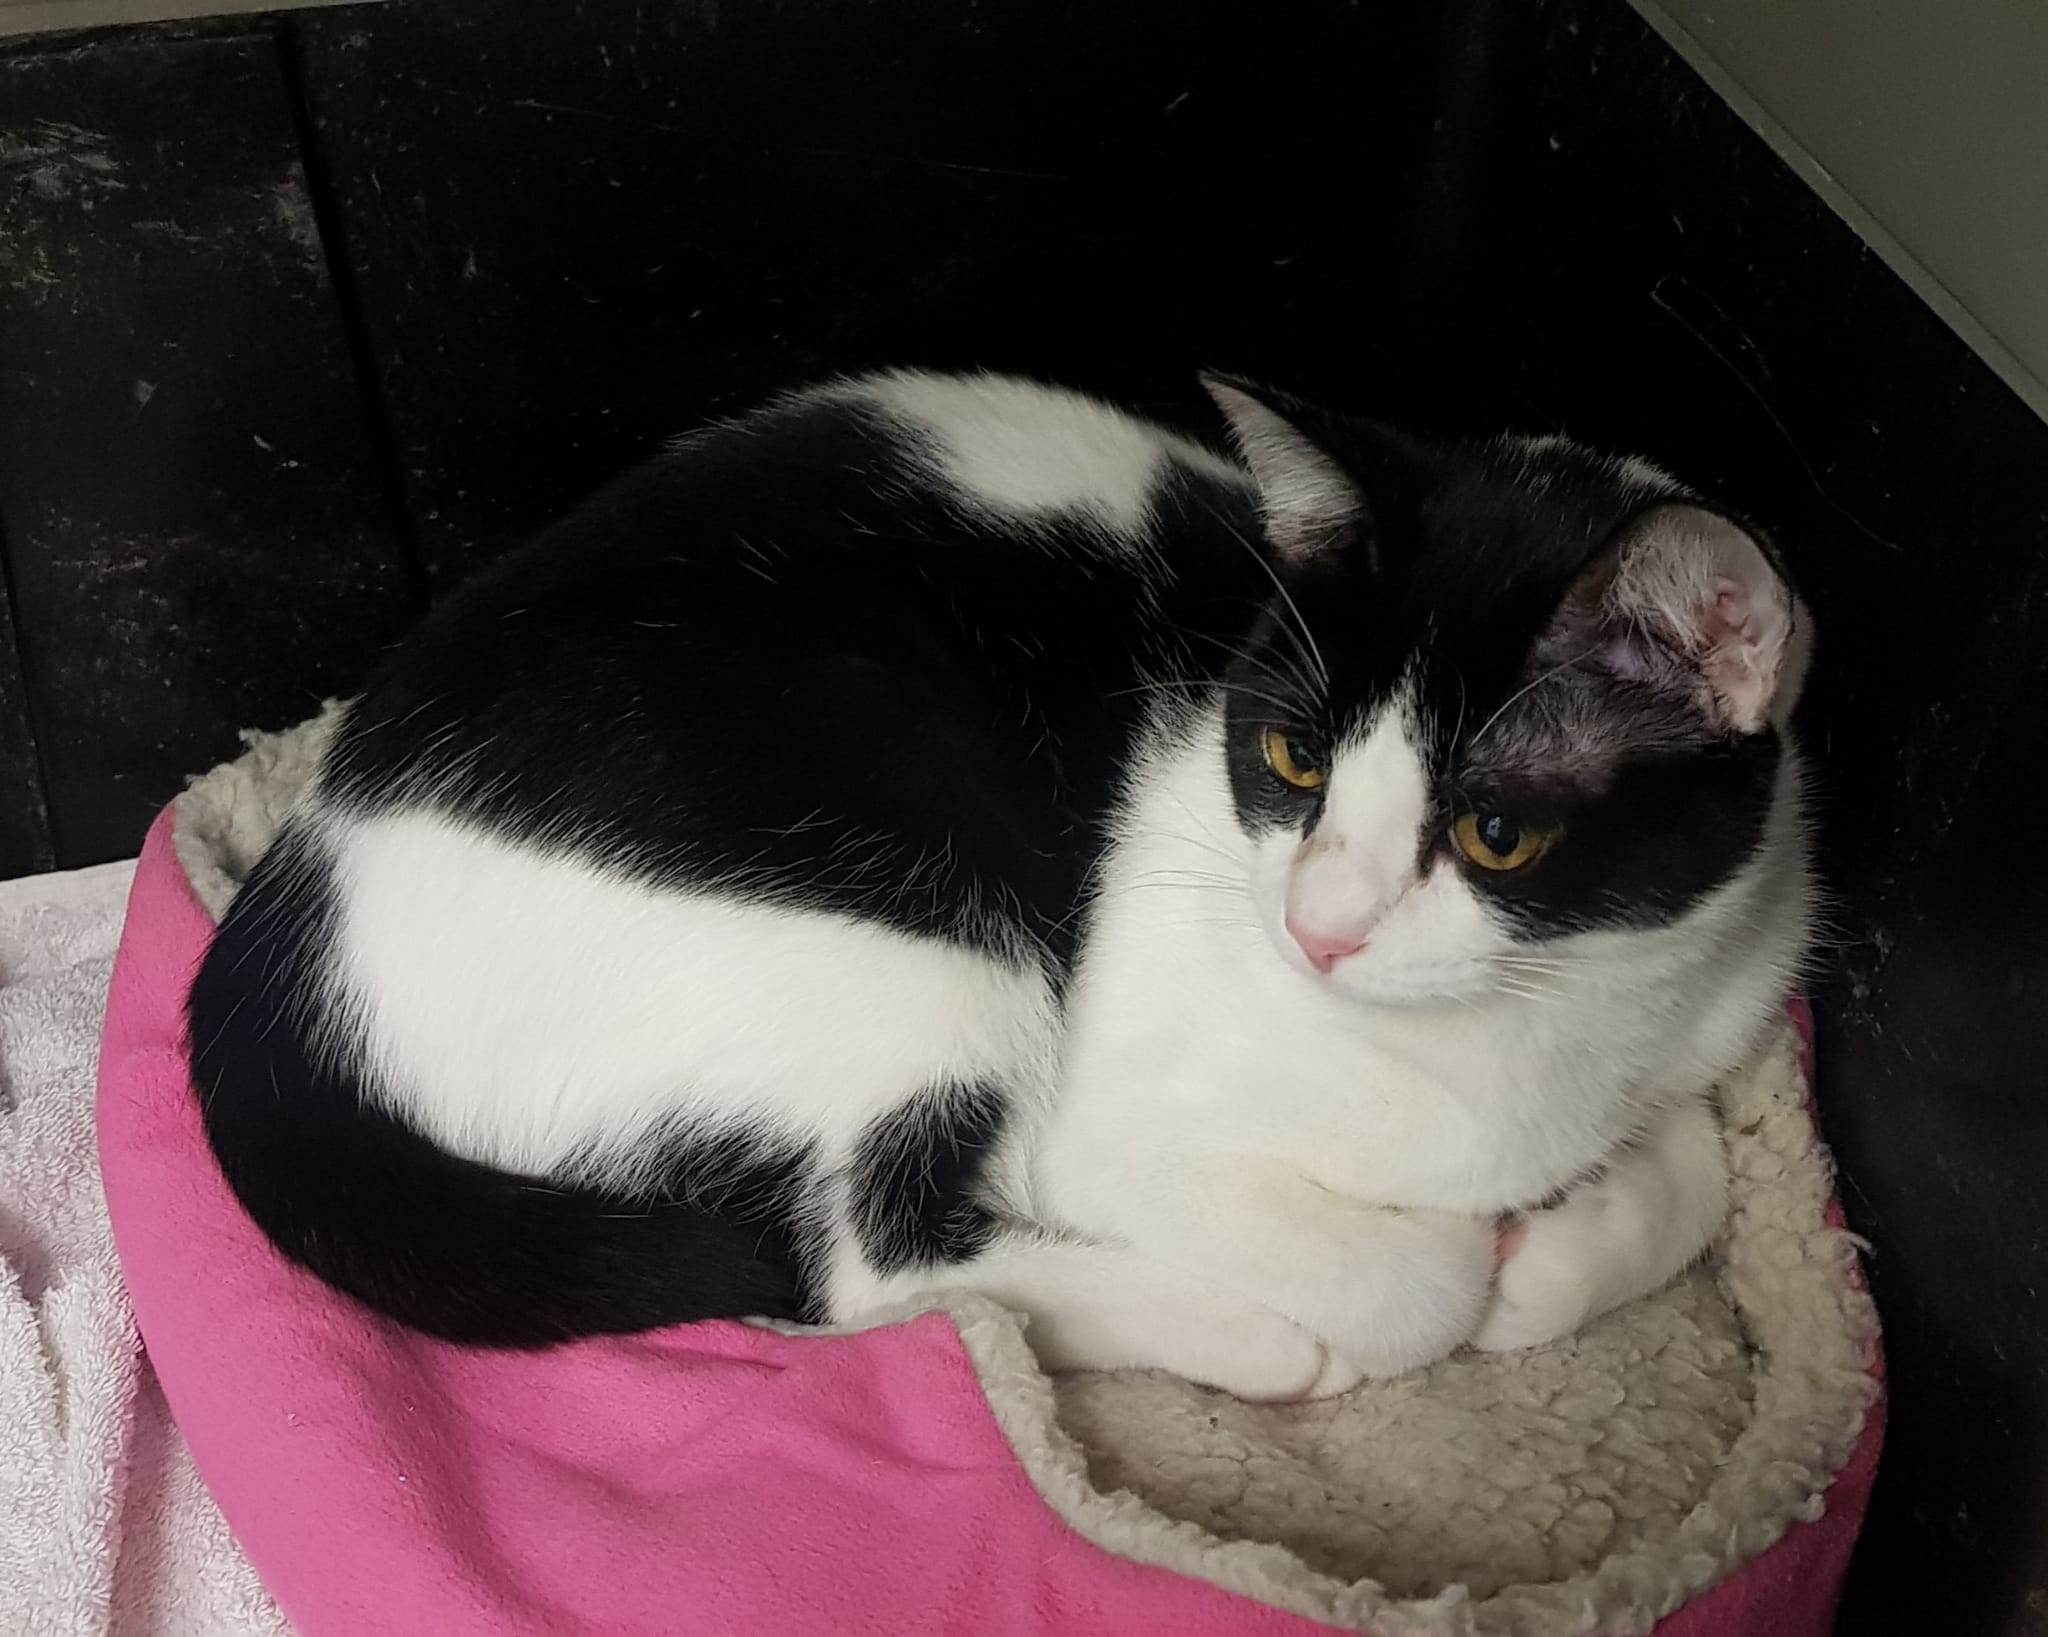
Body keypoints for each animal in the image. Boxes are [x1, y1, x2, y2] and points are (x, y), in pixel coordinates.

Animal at [187, 368, 1813, 1401]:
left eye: (1494, 836)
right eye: (1291, 757)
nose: (1319, 928)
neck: (1526, 1038)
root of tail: (297, 888)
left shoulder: (1718, 1003)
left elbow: (1702, 1163)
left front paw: (1566, 1245)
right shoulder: (1092, 1128)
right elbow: (1412, 1279)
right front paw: (1433, 1279)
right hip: (911, 944)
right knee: (858, 1272)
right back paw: (1234, 1337)